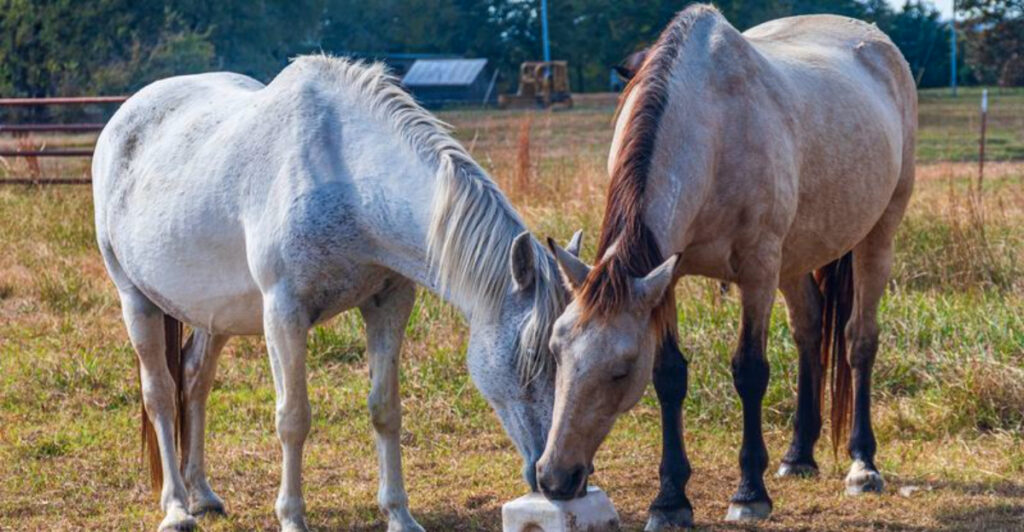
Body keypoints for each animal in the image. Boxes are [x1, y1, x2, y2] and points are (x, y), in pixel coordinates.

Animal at [92, 56, 576, 531]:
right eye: (531, 356)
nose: (557, 479)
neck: (343, 177)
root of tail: (122, 120)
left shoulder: (389, 303)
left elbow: (385, 409)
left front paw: (399, 515)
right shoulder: (284, 314)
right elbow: (293, 417)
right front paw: (291, 518)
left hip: (213, 316)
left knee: (194, 381)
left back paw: (203, 496)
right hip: (136, 302)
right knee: (160, 393)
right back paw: (176, 509)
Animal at [536, 5, 916, 528]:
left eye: (620, 370)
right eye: (555, 352)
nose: (554, 478)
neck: (713, 129)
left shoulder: (757, 270)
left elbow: (749, 371)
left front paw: (748, 493)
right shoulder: (667, 275)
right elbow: (670, 376)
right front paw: (670, 500)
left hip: (877, 234)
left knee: (859, 340)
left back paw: (863, 465)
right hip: (796, 257)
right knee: (809, 330)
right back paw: (799, 455)